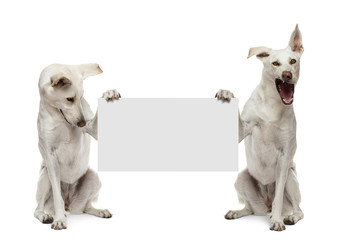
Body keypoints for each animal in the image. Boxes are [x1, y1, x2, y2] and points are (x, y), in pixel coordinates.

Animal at [34, 62, 121, 230]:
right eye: (69, 99)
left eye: (81, 97)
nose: (82, 123)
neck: (60, 118)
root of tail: (70, 203)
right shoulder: (50, 155)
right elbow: (57, 198)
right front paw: (59, 220)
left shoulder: (93, 129)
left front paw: (109, 93)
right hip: (46, 176)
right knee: (39, 208)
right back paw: (47, 215)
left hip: (93, 178)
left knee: (84, 208)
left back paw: (100, 211)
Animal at [216, 24, 306, 231]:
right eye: (275, 63)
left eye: (292, 61)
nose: (287, 75)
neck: (274, 102)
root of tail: (265, 204)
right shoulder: (243, 129)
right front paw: (226, 93)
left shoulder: (284, 157)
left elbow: (279, 198)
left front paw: (277, 221)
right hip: (241, 178)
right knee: (251, 209)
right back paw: (237, 212)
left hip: (290, 177)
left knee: (296, 209)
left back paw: (286, 217)